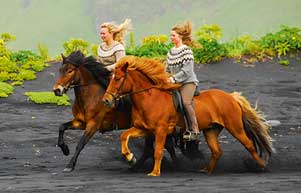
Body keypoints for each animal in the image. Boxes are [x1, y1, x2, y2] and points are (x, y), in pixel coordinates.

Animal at [102, 55, 274, 176]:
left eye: (118, 79)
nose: (106, 100)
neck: (150, 98)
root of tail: (231, 97)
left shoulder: (161, 130)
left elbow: (158, 151)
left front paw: (154, 172)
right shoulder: (143, 129)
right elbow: (124, 136)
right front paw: (130, 157)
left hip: (235, 127)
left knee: (249, 145)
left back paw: (261, 166)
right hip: (211, 130)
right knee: (217, 151)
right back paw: (206, 170)